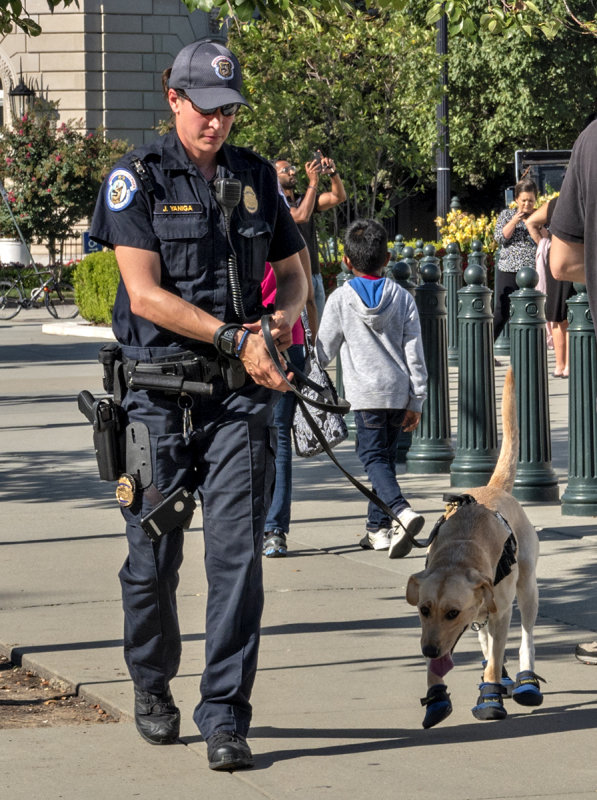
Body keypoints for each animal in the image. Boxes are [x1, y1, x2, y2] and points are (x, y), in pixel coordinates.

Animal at [406, 372, 540, 728]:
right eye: (423, 609)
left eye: (453, 612)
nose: (428, 650)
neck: (459, 554)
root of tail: (492, 488)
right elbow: (458, 662)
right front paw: (436, 696)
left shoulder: (501, 612)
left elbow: (495, 656)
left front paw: (490, 699)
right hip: (482, 616)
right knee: (486, 641)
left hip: (527, 589)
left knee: (525, 638)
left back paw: (525, 680)